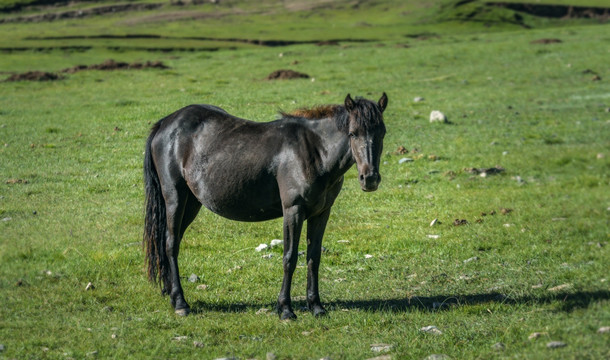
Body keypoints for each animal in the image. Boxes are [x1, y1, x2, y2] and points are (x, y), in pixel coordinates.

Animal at [144, 93, 384, 320]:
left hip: (192, 203)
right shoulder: (293, 210)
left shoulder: (321, 213)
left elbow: (313, 258)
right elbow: (290, 257)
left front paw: (316, 306)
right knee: (170, 244)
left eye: (382, 133)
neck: (314, 150)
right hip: (175, 198)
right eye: (353, 133)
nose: (370, 178)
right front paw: (285, 309)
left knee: (169, 243)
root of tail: (165, 123)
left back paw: (171, 294)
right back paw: (181, 303)